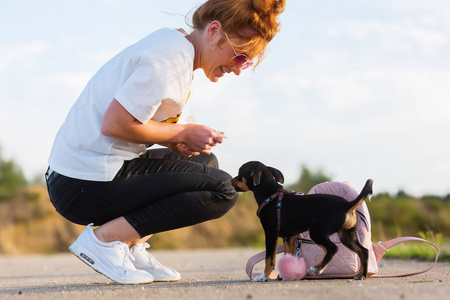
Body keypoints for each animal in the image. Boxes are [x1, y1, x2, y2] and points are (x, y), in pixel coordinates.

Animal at [232, 162, 372, 282]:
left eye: (240, 173)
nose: (231, 180)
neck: (270, 194)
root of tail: (348, 205)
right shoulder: (288, 237)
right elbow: (287, 255)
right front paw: (283, 275)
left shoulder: (271, 234)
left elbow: (269, 259)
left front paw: (263, 277)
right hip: (347, 236)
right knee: (363, 251)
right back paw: (361, 275)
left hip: (317, 232)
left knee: (333, 248)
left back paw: (316, 269)